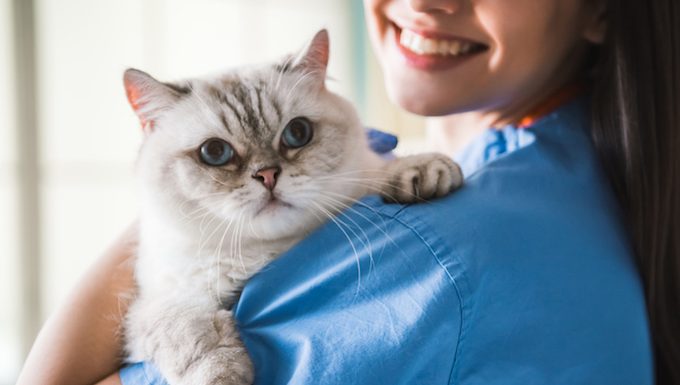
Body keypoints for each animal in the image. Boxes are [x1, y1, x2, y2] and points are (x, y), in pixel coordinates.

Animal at [121, 28, 462, 382]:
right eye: (214, 152)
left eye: (297, 132)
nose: (268, 175)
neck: (269, 251)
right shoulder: (160, 300)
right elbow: (192, 334)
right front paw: (223, 373)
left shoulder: (359, 178)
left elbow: (376, 172)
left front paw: (420, 171)